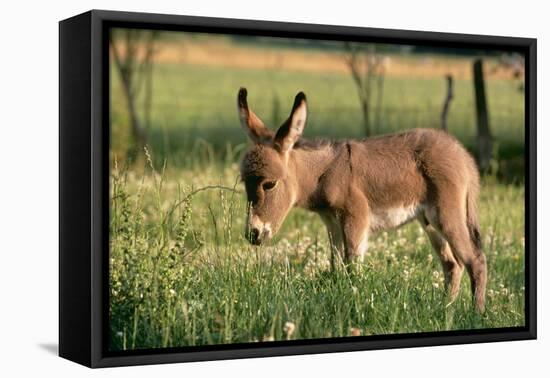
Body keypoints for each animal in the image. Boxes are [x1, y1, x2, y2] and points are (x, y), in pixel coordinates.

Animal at [239, 87, 490, 312]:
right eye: (244, 183)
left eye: (269, 184)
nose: (253, 234)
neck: (326, 173)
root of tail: (463, 156)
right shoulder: (332, 223)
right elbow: (335, 266)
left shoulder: (355, 218)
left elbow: (352, 267)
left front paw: (353, 304)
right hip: (428, 221)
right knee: (453, 264)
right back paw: (446, 309)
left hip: (446, 214)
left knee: (475, 260)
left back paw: (475, 314)